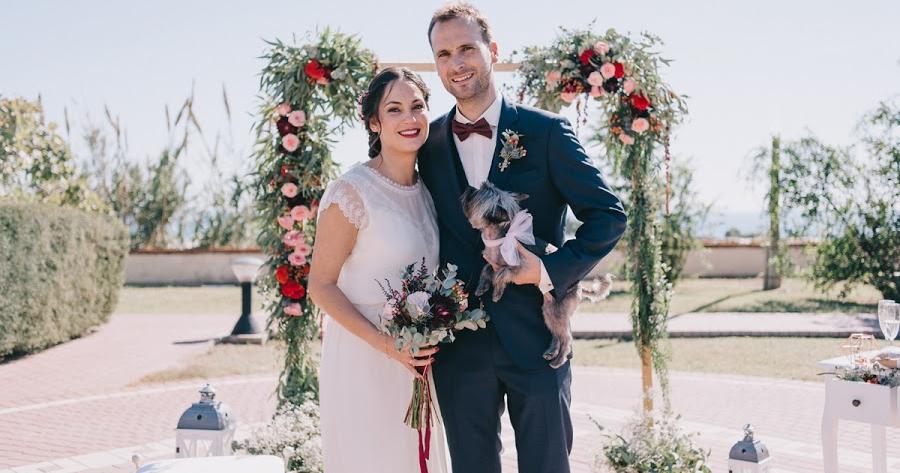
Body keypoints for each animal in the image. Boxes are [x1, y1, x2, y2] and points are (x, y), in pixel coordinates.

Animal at [464, 181, 612, 368]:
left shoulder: (520, 267)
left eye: (479, 193)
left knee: (566, 338)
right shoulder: (493, 263)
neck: (501, 237)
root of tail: (579, 286)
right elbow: (487, 269)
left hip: (557, 312)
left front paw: (497, 293)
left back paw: (559, 360)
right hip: (549, 311)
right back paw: (551, 352)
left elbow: (502, 274)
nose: (469, 188)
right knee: (557, 335)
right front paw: (481, 287)